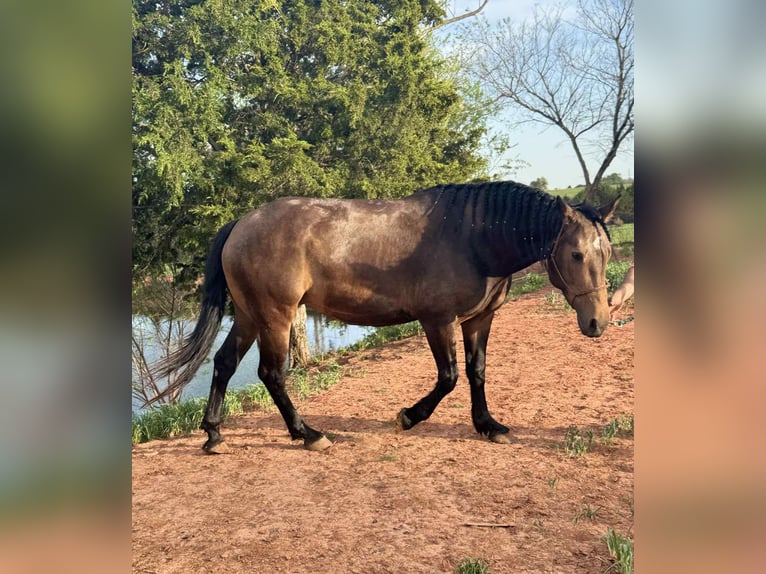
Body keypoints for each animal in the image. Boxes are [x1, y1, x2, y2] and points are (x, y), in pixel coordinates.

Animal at [149, 180, 618, 452]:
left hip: (250, 315)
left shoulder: (478, 320)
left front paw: (487, 425)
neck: (472, 238)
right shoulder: (437, 320)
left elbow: (477, 372)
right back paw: (308, 434)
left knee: (225, 363)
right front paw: (408, 416)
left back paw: (214, 434)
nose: (598, 322)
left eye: (608, 252)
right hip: (276, 317)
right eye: (576, 254)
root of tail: (241, 223)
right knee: (272, 374)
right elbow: (448, 377)